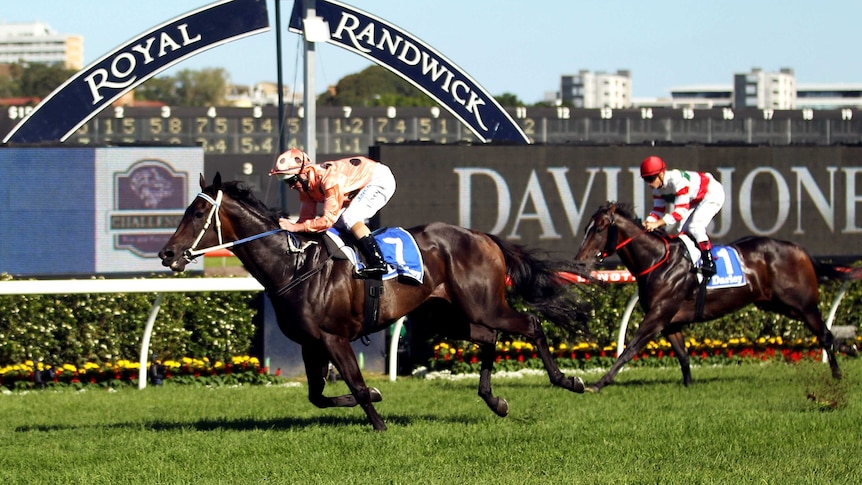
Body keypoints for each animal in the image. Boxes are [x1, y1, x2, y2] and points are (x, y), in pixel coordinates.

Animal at [160, 173, 592, 428]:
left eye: (197, 212)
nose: (167, 254)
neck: (294, 266)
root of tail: (483, 236)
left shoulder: (334, 338)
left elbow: (355, 380)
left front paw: (378, 419)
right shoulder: (310, 344)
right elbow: (317, 396)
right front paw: (373, 396)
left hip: (484, 305)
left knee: (529, 325)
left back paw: (567, 381)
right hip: (444, 315)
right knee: (490, 338)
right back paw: (495, 401)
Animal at [572, 202, 862, 392]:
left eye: (599, 229)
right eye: (586, 227)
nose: (579, 261)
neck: (657, 261)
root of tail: (800, 250)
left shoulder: (657, 317)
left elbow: (628, 349)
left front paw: (598, 383)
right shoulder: (670, 322)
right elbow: (683, 355)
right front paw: (688, 386)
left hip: (801, 303)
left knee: (824, 334)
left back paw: (837, 374)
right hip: (776, 304)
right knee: (824, 333)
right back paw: (849, 349)